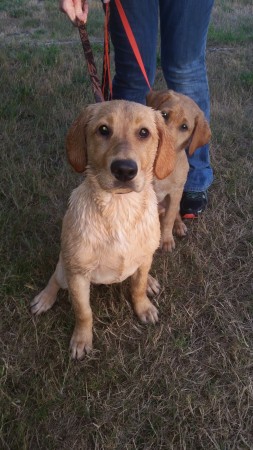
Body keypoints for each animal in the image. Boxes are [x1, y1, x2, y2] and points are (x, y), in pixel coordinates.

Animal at [30, 99, 176, 358]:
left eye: (144, 133)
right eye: (104, 130)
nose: (125, 170)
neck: (119, 209)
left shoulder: (144, 259)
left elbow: (137, 287)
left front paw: (143, 306)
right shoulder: (78, 275)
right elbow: (83, 311)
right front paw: (81, 340)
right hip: (65, 267)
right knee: (55, 276)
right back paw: (45, 298)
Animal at [146, 89, 211, 251]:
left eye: (184, 127)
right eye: (164, 115)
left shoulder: (175, 192)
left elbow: (169, 219)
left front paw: (166, 240)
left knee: (175, 214)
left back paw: (179, 226)